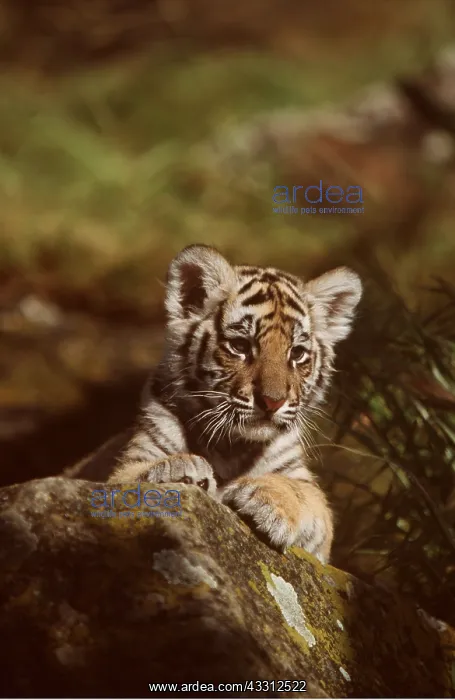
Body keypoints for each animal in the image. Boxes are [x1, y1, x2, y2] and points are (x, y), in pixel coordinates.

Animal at [103, 244, 362, 563]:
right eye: (240, 346)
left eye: (297, 353)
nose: (272, 401)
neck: (231, 446)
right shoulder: (126, 465)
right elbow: (132, 476)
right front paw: (178, 469)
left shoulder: (303, 486)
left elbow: (305, 494)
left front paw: (267, 500)